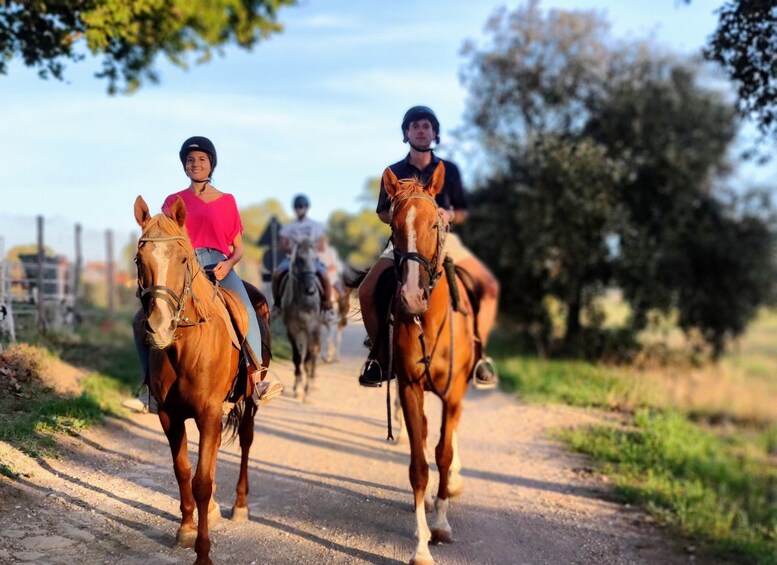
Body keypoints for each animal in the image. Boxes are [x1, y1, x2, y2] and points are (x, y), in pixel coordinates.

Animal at [133, 196, 271, 565]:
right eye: (139, 260)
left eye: (183, 259)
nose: (159, 327)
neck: (185, 346)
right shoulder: (170, 415)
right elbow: (183, 472)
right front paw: (185, 530)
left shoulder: (208, 412)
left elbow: (203, 482)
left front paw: (203, 552)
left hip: (249, 400)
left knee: (247, 441)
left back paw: (239, 506)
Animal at [280, 238, 322, 400]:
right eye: (299, 259)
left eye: (316, 259)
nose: (311, 290)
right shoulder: (291, 330)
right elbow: (297, 357)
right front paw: (297, 388)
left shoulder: (310, 328)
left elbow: (308, 358)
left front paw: (306, 389)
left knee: (315, 350)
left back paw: (312, 379)